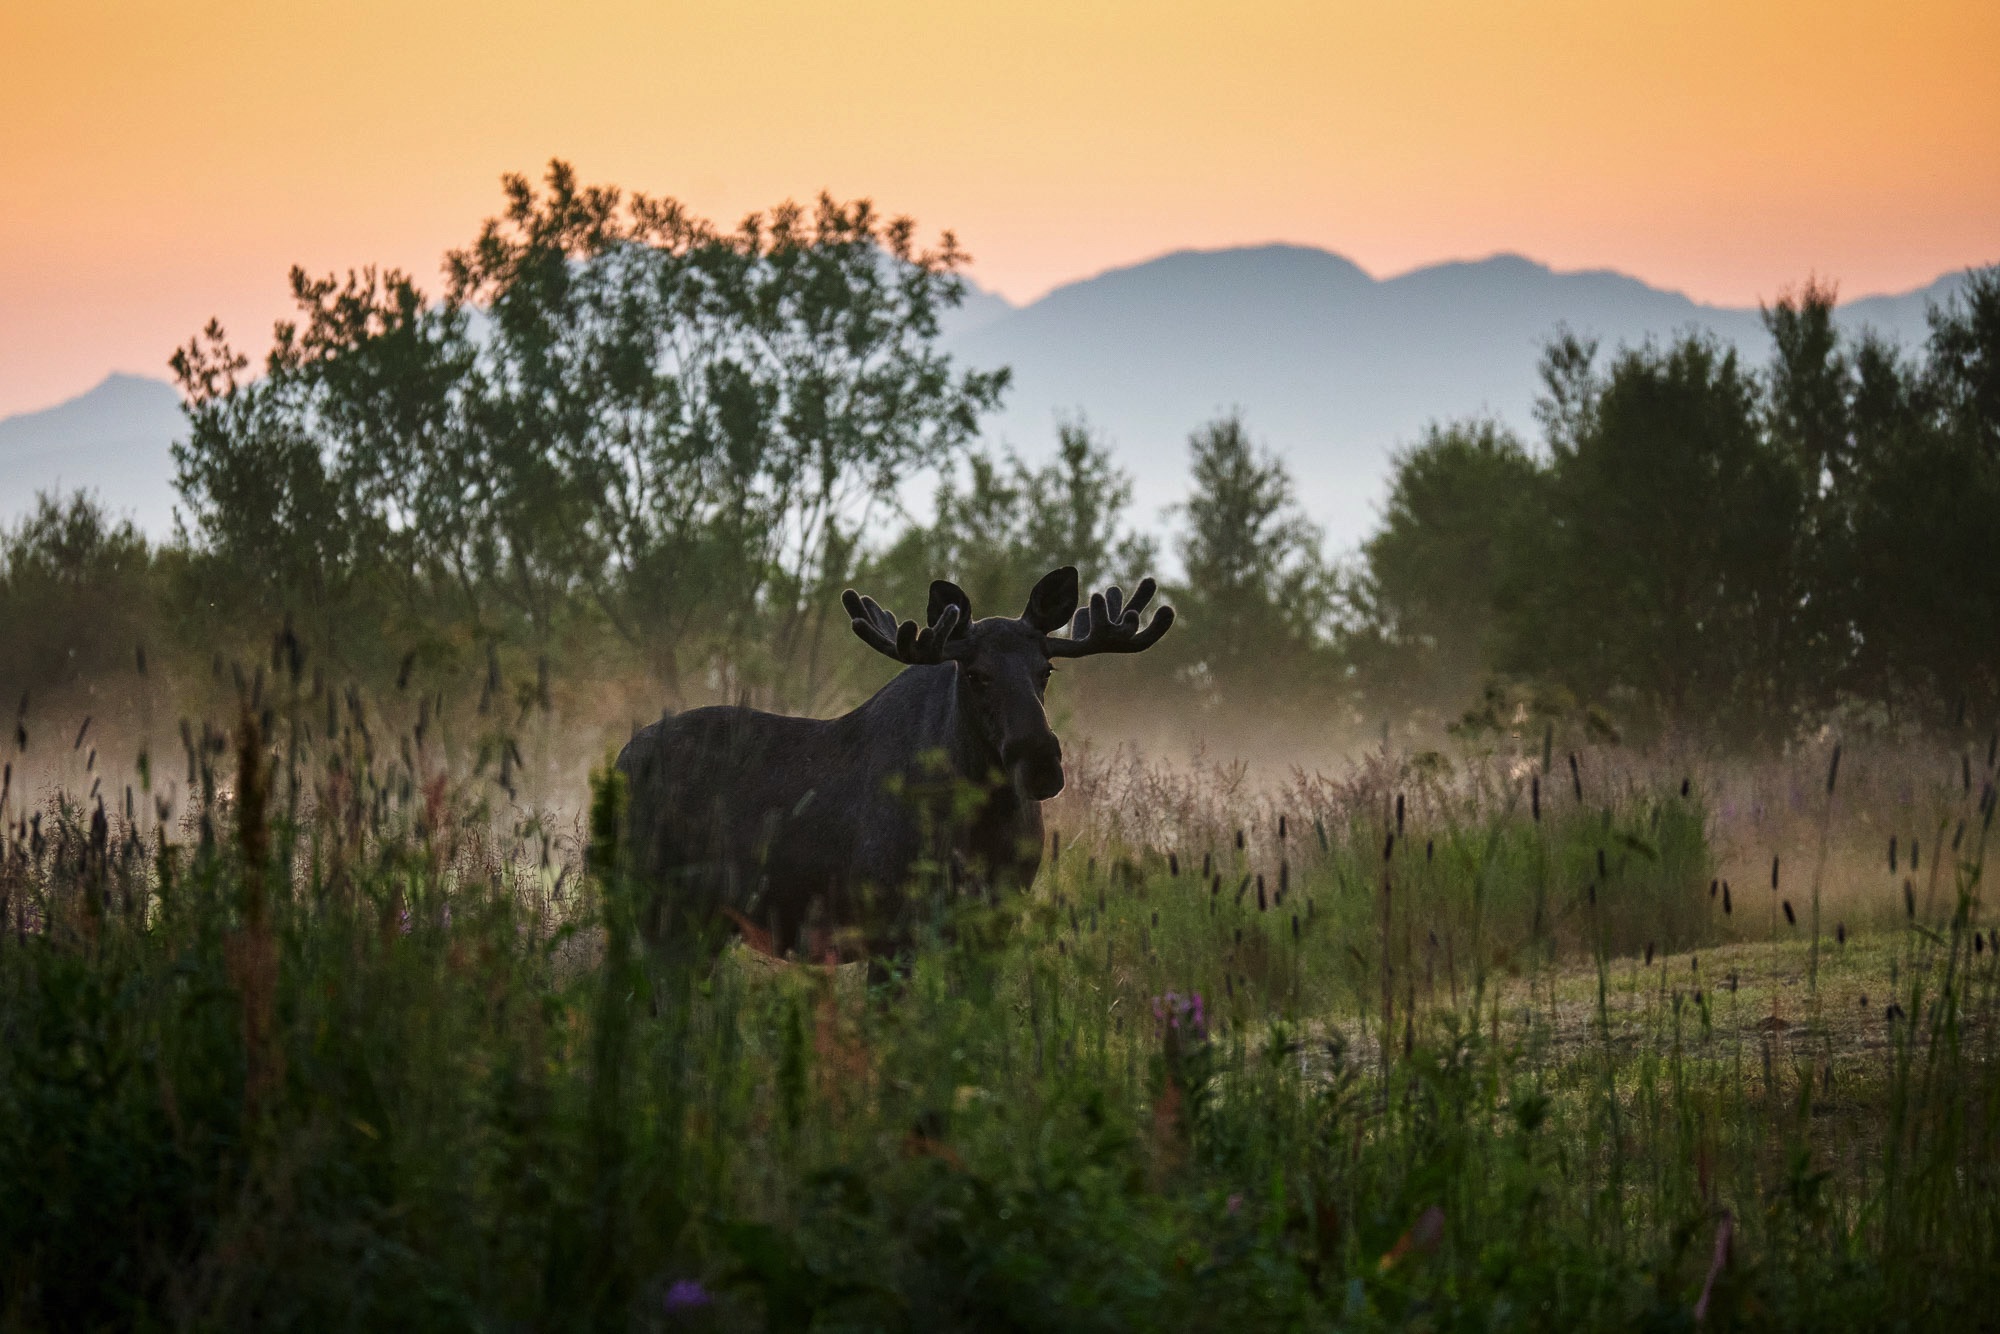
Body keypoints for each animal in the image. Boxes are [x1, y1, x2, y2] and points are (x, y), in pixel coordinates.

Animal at [612, 564, 1168, 960]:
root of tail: (619, 760)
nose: (1040, 764)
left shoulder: (992, 920)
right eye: (975, 674)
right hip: (661, 909)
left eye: (1046, 669)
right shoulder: (889, 928)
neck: (982, 826)